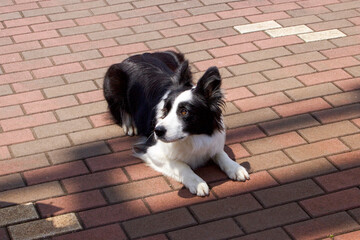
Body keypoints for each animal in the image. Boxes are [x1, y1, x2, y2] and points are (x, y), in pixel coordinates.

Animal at [104, 51, 250, 196]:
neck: (192, 137)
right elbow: (181, 164)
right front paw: (197, 182)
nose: (157, 131)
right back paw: (129, 123)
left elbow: (221, 153)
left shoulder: (213, 140)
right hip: (113, 78)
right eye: (166, 109)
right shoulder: (151, 150)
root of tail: (138, 55)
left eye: (184, 112)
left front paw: (236, 168)